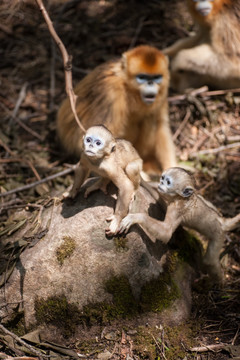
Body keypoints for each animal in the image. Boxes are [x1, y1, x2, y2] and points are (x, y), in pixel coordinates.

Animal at [56, 45, 176, 174]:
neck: (128, 87)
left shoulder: (162, 94)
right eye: (142, 77)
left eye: (156, 77)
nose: (150, 83)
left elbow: (161, 126)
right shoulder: (111, 91)